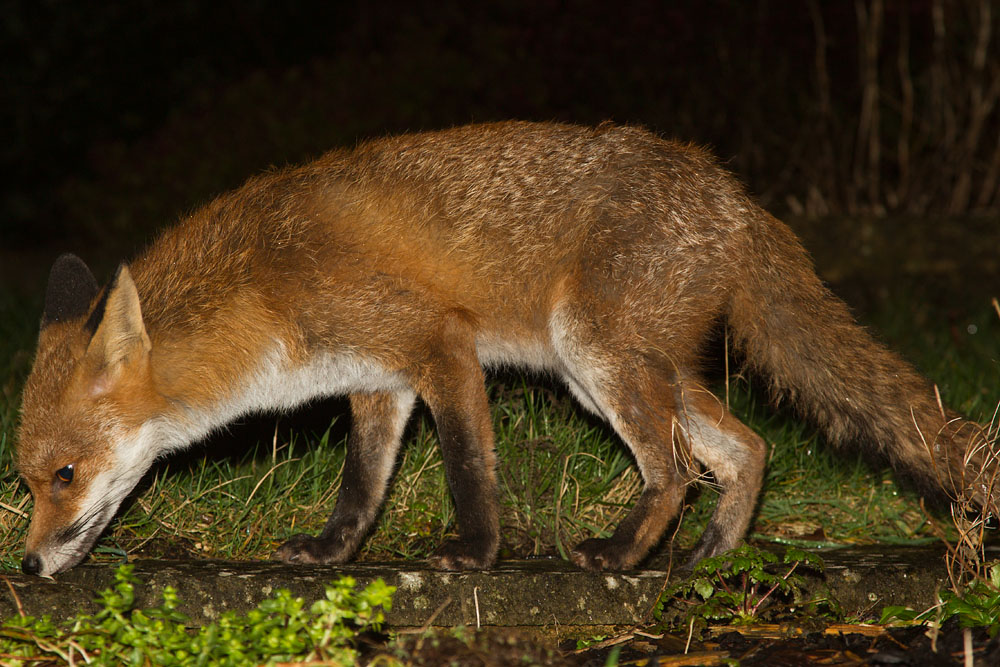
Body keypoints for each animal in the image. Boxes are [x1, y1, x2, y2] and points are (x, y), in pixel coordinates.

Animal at [15, 121, 996, 578]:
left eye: (64, 476)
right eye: (24, 485)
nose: (24, 563)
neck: (264, 284)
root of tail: (736, 195)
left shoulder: (439, 345)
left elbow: (467, 469)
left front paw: (476, 553)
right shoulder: (376, 382)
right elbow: (361, 488)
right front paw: (332, 553)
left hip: (597, 353)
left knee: (674, 468)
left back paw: (621, 552)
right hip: (624, 370)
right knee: (745, 447)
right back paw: (712, 556)